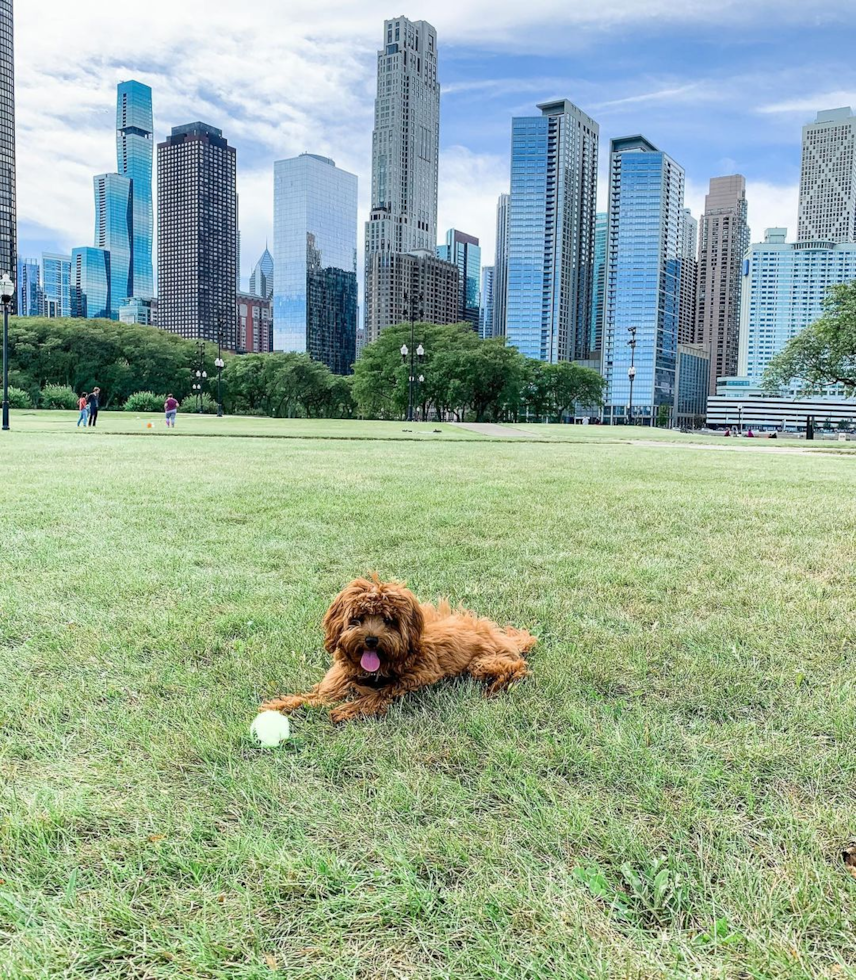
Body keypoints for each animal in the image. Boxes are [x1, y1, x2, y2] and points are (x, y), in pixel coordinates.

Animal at [262, 576, 536, 720]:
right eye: (357, 619)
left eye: (389, 620)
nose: (371, 640)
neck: (371, 672)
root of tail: (502, 635)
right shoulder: (335, 685)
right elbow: (312, 698)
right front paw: (280, 705)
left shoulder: (412, 679)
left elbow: (378, 695)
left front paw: (347, 709)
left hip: (483, 662)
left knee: (517, 667)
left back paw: (495, 688)